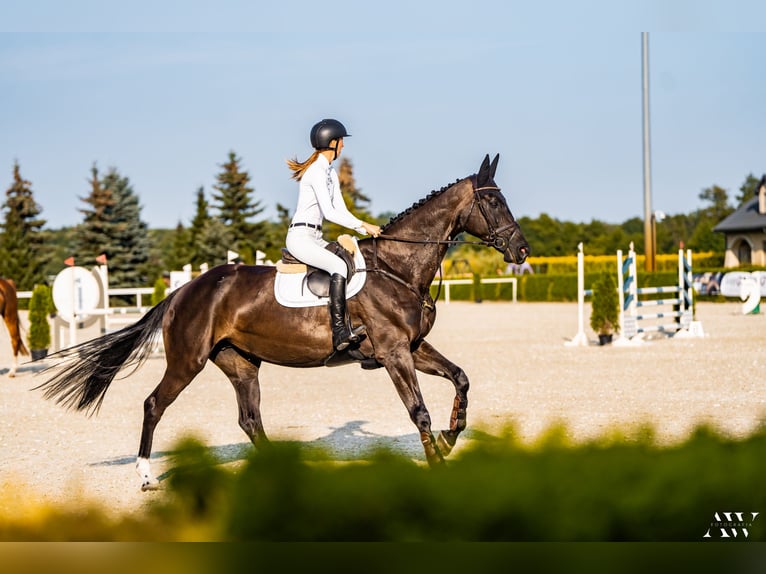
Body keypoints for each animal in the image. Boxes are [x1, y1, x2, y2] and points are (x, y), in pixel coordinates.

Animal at [36, 155, 528, 492]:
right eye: (493, 201)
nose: (521, 250)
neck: (398, 268)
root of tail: (182, 292)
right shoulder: (393, 354)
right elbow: (418, 411)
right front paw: (439, 460)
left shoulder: (413, 348)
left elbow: (461, 378)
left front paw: (450, 437)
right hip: (187, 361)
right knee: (155, 405)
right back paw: (145, 476)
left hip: (240, 363)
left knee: (250, 419)